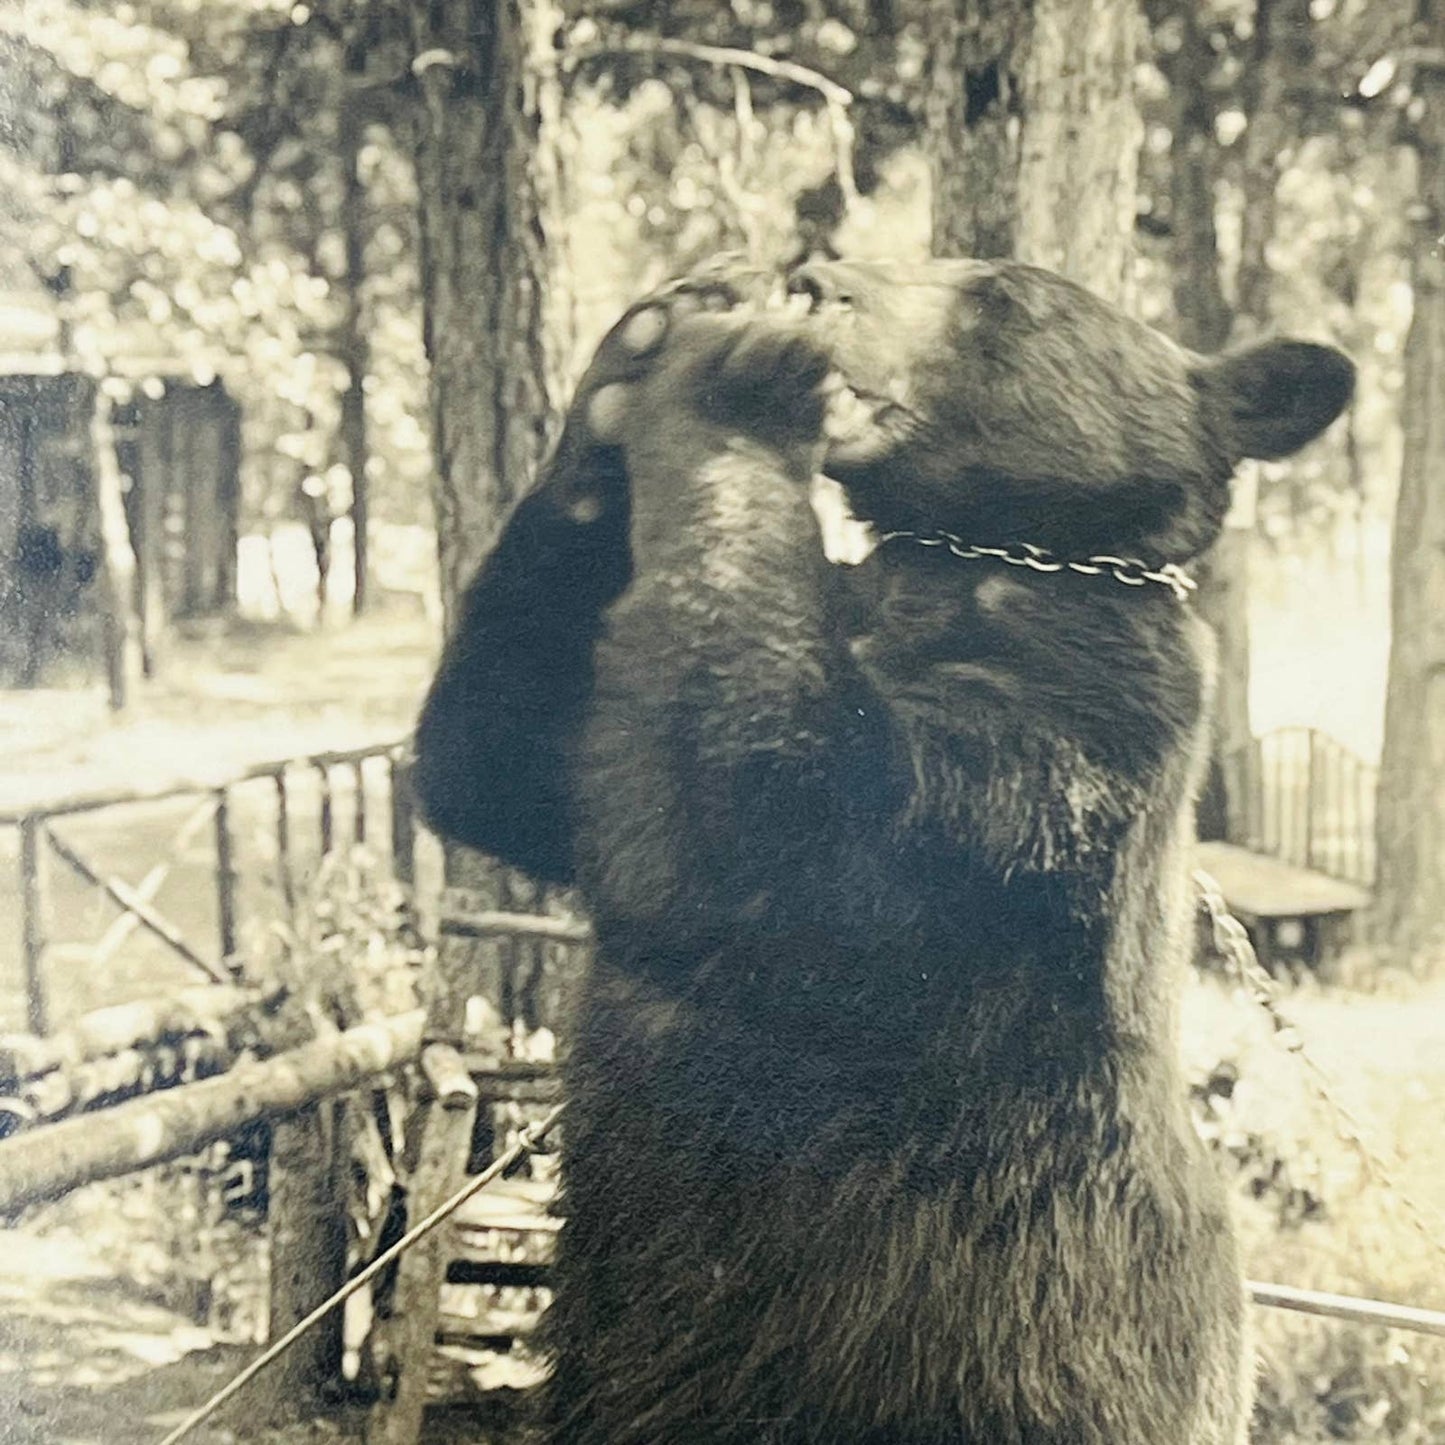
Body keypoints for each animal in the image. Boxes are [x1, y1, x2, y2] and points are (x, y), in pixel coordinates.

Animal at [416, 262, 1352, 1445]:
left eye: (995, 296)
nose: (819, 277)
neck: (974, 554)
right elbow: (521, 769)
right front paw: (627, 364)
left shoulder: (1076, 737)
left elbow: (786, 841)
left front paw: (745, 376)